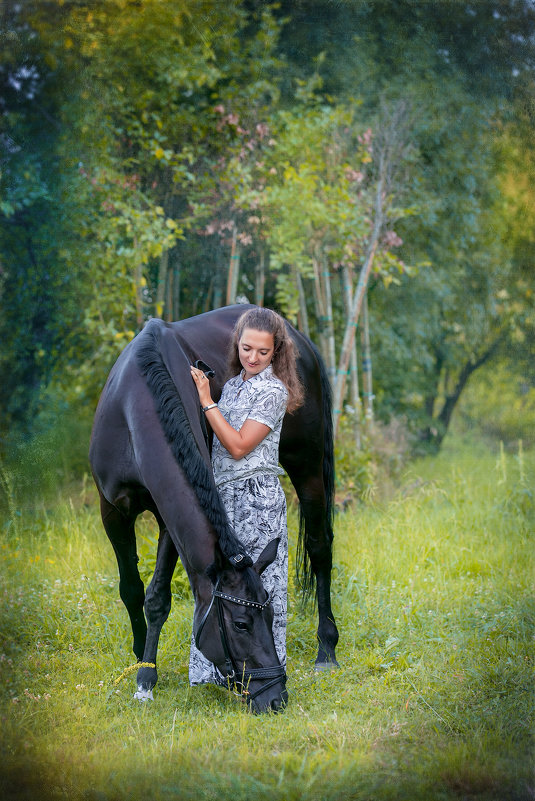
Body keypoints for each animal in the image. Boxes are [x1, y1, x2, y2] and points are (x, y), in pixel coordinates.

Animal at [89, 304, 340, 708]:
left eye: (271, 616)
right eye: (242, 623)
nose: (276, 697)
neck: (134, 405)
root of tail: (299, 339)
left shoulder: (167, 520)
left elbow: (156, 597)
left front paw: (146, 675)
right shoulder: (112, 510)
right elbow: (131, 588)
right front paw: (141, 660)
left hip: (308, 466)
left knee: (319, 549)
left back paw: (327, 650)